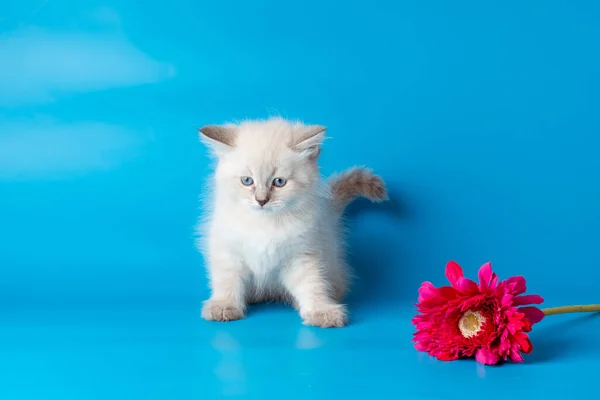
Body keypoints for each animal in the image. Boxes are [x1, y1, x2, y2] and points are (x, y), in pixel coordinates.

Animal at [195, 116, 386, 328]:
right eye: (247, 181)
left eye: (279, 182)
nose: (261, 201)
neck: (264, 224)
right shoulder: (228, 251)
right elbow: (227, 282)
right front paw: (224, 307)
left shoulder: (302, 255)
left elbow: (312, 284)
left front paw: (322, 311)